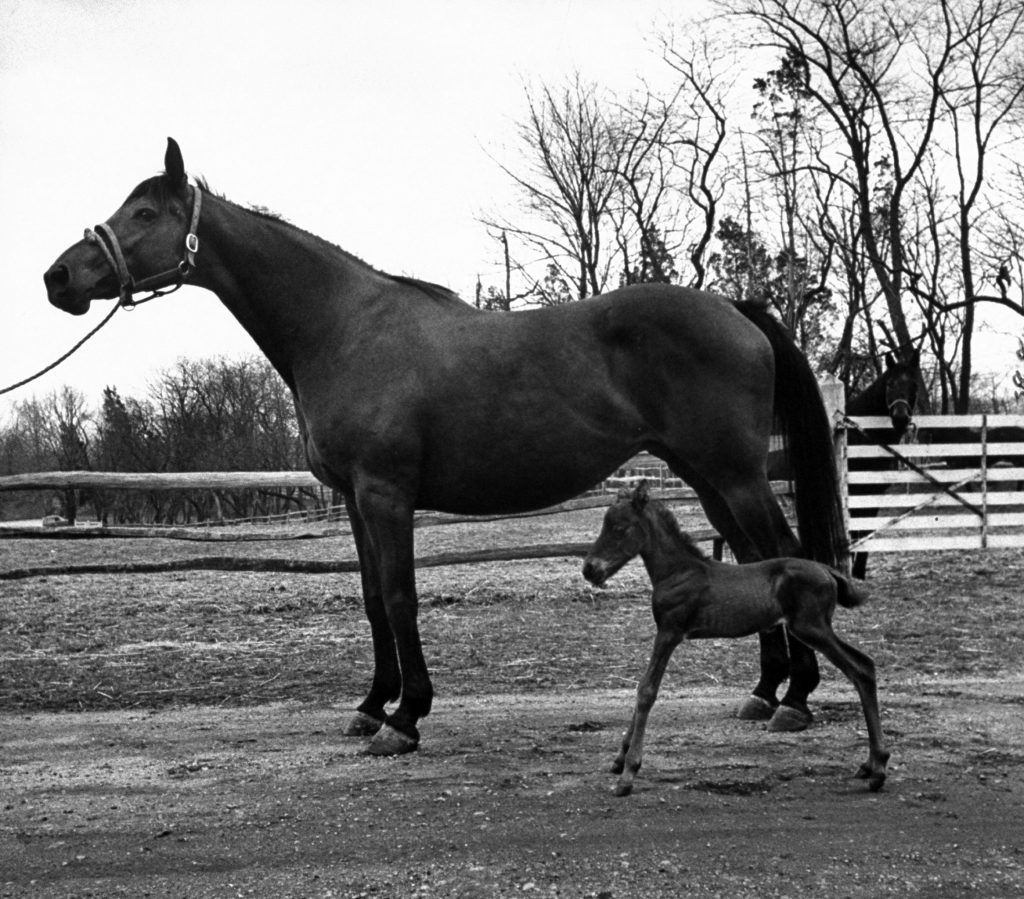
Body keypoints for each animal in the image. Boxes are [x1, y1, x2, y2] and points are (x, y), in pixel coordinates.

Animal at [44, 141, 843, 757]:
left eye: (145, 214)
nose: (59, 277)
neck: (343, 328)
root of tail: (734, 308)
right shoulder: (354, 499)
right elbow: (373, 600)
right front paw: (372, 704)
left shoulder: (386, 492)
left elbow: (401, 597)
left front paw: (405, 718)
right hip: (708, 476)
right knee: (755, 561)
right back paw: (765, 689)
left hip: (734, 477)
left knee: (783, 551)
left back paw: (797, 696)